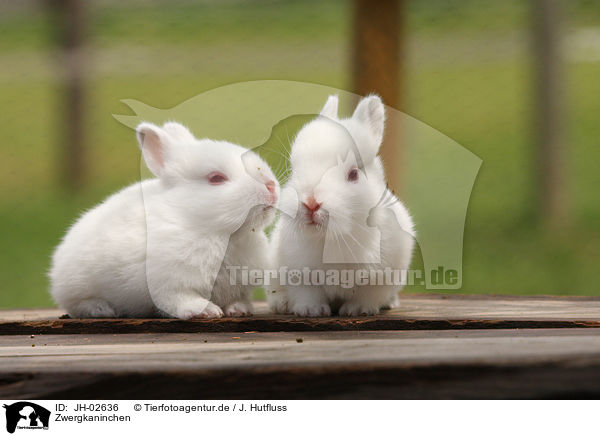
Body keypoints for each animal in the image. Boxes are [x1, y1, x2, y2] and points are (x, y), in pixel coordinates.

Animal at [49, 121, 278, 318]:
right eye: (216, 178)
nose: (271, 186)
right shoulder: (171, 283)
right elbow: (181, 300)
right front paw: (207, 311)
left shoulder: (239, 286)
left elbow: (239, 298)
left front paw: (239, 309)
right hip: (76, 285)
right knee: (77, 304)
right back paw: (101, 309)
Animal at [268, 93, 414, 316]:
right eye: (293, 170)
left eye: (353, 174)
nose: (310, 203)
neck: (334, 237)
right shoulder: (299, 273)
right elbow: (306, 293)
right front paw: (311, 311)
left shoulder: (381, 277)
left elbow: (369, 295)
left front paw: (358, 310)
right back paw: (281, 305)